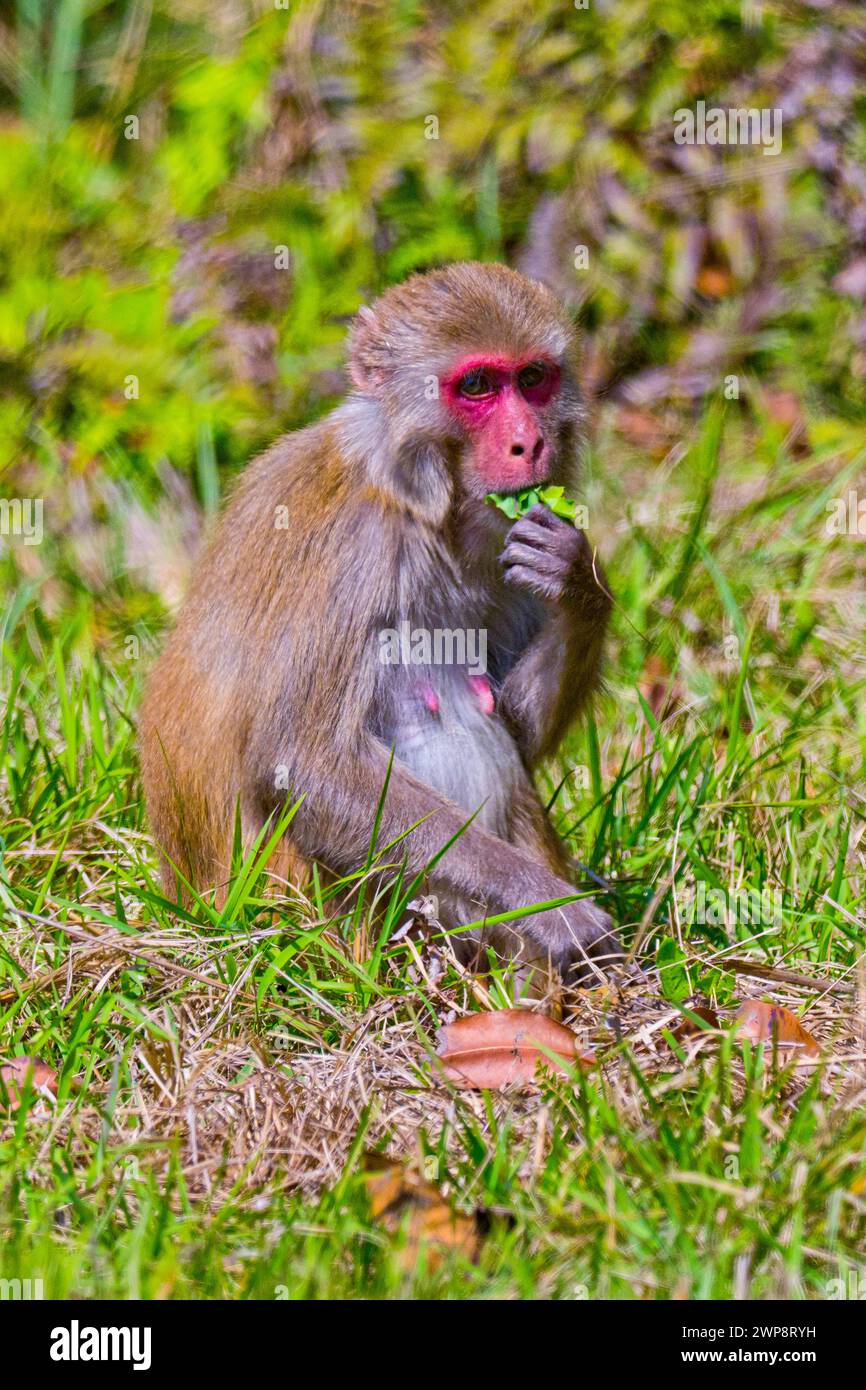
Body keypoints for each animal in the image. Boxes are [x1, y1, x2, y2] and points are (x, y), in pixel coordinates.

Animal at [139, 261, 619, 982]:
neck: (426, 505)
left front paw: (576, 580)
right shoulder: (351, 552)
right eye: (476, 385)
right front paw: (552, 907)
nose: (529, 442)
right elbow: (302, 764)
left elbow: (514, 727)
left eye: (533, 377)